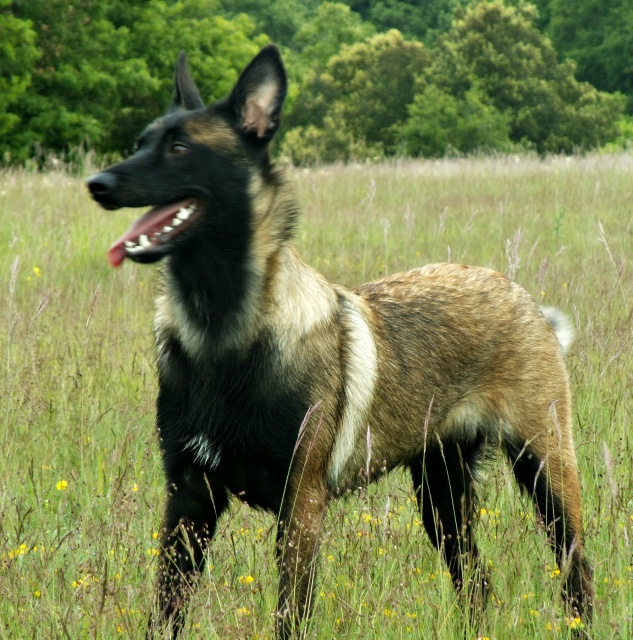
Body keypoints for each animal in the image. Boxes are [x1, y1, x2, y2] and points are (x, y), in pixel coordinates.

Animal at [86, 46, 592, 640]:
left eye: (180, 148)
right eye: (140, 143)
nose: (97, 184)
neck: (225, 335)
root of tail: (521, 296)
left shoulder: (301, 508)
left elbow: (290, 616)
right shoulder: (189, 501)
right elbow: (166, 610)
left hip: (545, 472)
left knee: (576, 568)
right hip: (440, 496)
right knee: (476, 581)